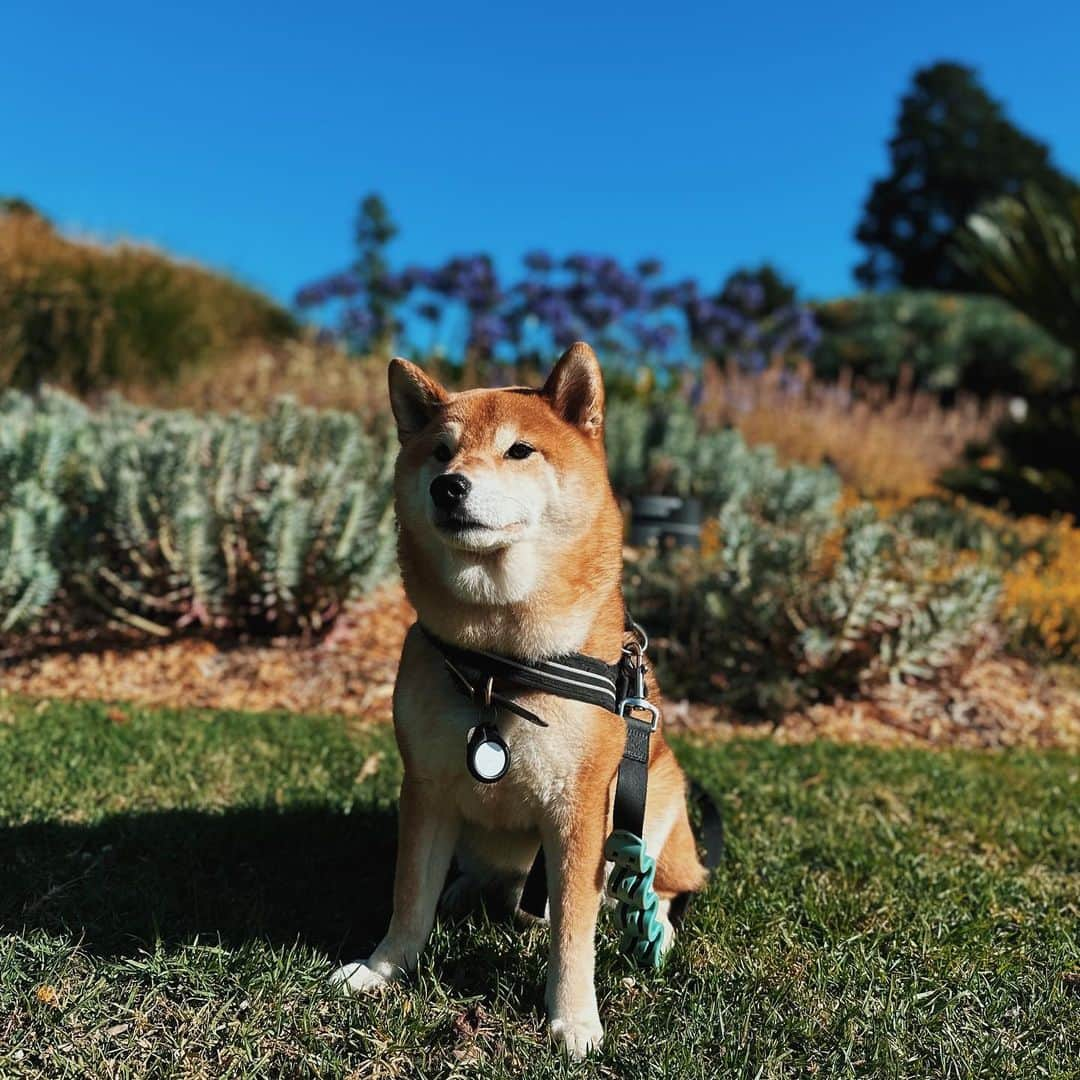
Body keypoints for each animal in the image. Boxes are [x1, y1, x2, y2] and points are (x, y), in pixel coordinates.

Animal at [334, 343, 708, 1054]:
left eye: (519, 451)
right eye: (440, 451)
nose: (449, 486)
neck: (498, 662)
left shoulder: (580, 810)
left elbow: (573, 931)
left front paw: (574, 1017)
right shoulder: (426, 787)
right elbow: (409, 896)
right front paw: (381, 970)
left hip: (656, 803)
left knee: (660, 887)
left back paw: (657, 925)